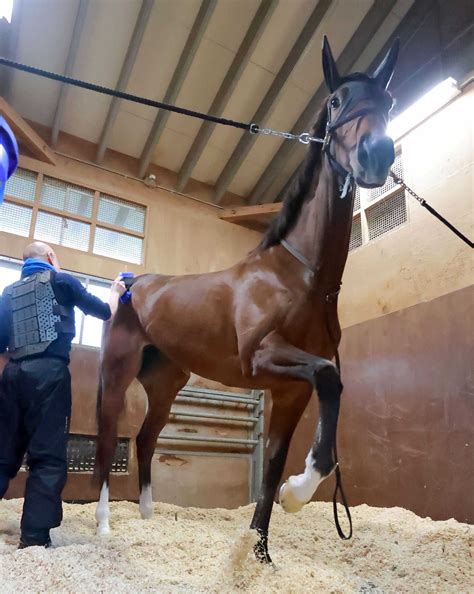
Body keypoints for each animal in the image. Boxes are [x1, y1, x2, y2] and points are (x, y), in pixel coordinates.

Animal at [94, 34, 398, 560]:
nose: (377, 154)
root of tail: (130, 284)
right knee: (111, 434)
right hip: (118, 371)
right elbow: (330, 376)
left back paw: (150, 518)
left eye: (389, 102)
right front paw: (298, 494)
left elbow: (273, 464)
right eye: (336, 101)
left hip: (166, 383)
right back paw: (105, 525)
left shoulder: (292, 391)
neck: (299, 276)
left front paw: (260, 554)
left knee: (147, 439)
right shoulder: (261, 358)